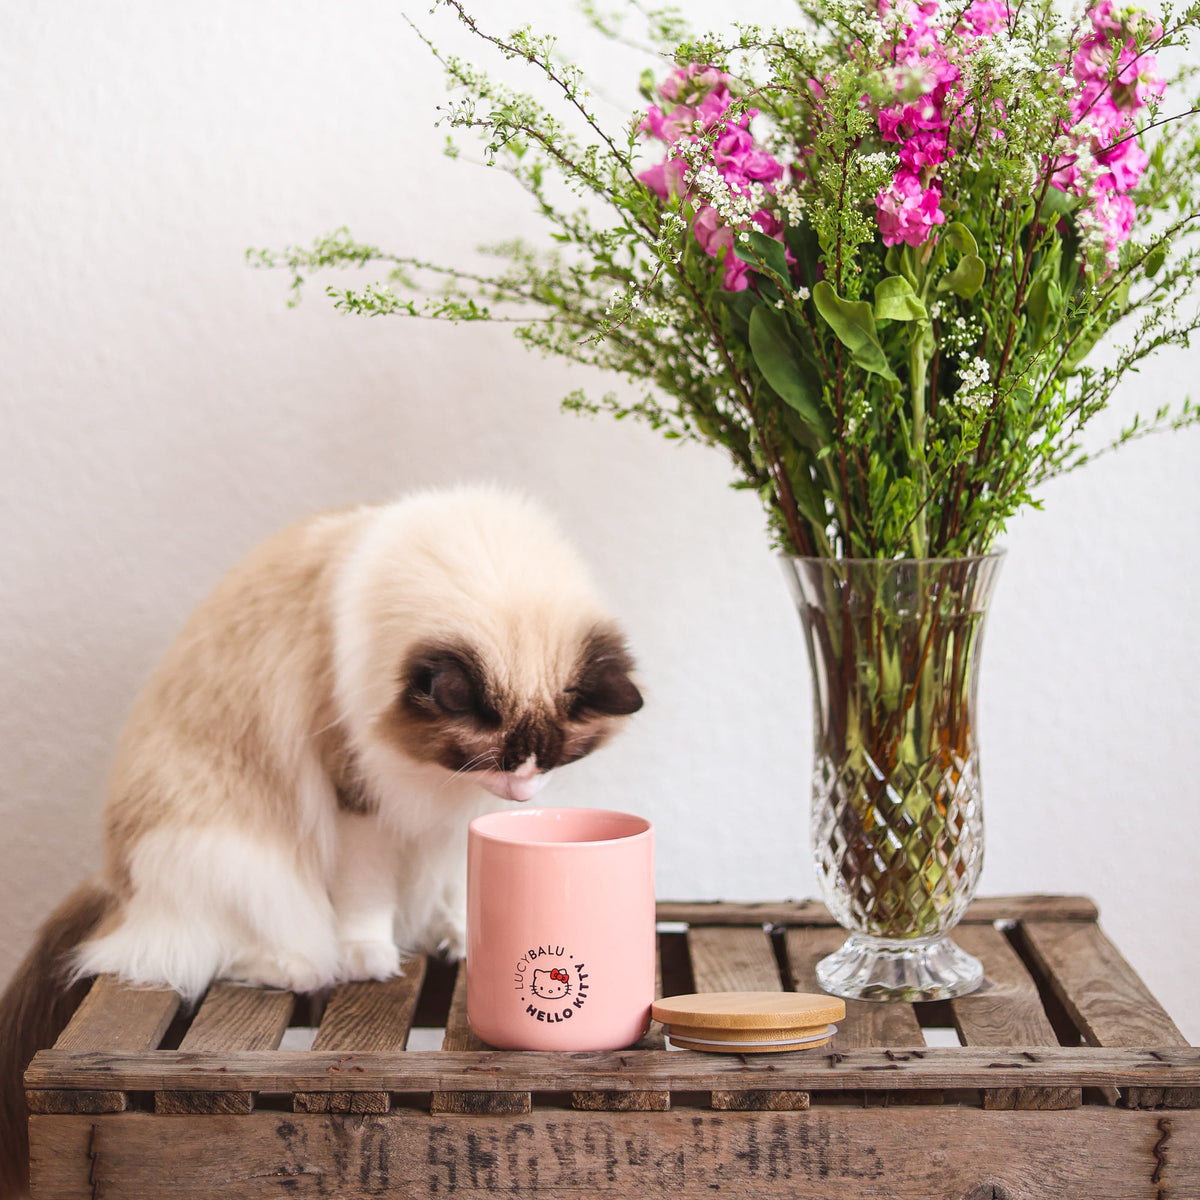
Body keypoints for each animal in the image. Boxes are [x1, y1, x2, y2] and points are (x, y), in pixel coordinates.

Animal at [0, 482, 643, 1195]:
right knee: (186, 952)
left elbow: (454, 889)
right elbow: (366, 900)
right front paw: (369, 958)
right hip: (229, 858)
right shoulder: (357, 792)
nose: (525, 795)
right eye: (501, 760)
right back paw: (298, 964)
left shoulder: (453, 816)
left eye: (551, 760)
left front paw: (460, 937)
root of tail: (116, 885)